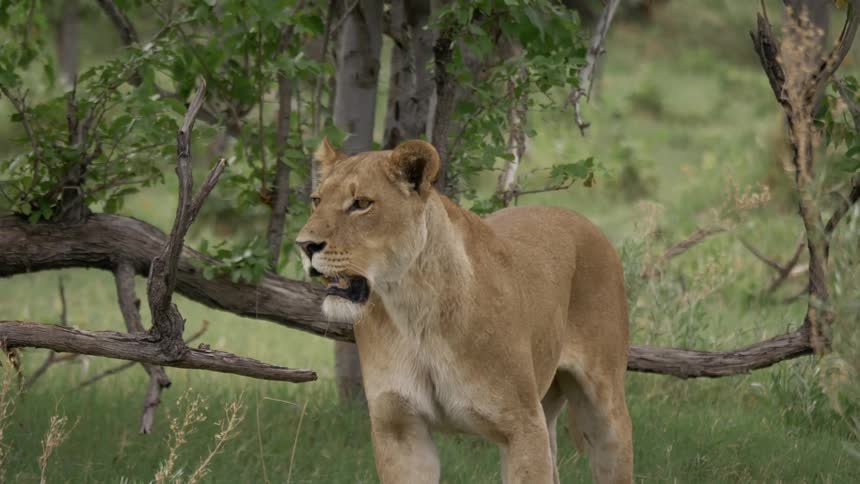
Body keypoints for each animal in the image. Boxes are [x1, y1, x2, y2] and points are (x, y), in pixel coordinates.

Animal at [296, 139, 633, 484]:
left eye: (361, 203)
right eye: (316, 200)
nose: (304, 245)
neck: (413, 310)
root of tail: (579, 218)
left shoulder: (523, 426)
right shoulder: (400, 429)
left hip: (603, 411)